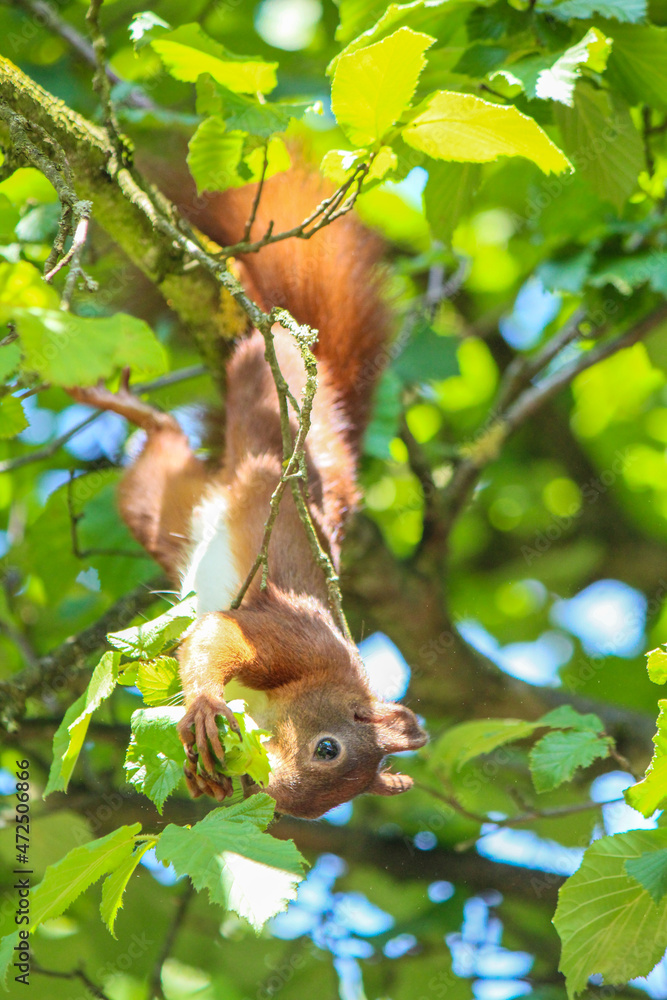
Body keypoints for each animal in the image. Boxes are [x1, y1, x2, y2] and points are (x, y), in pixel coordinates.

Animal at [68, 167, 427, 819]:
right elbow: (216, 634)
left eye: (306, 812)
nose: (271, 792)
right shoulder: (297, 639)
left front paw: (207, 781)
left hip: (166, 507)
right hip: (263, 384)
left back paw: (135, 411)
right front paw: (205, 706)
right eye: (328, 748)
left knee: (163, 448)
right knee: (258, 353)